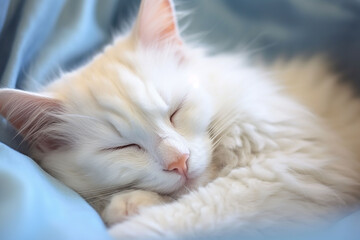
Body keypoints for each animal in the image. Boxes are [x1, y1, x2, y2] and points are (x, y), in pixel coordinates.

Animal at [0, 0, 360, 239]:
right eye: (122, 147)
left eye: (176, 111)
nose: (179, 161)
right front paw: (129, 205)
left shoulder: (288, 166)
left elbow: (187, 214)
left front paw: (131, 221)